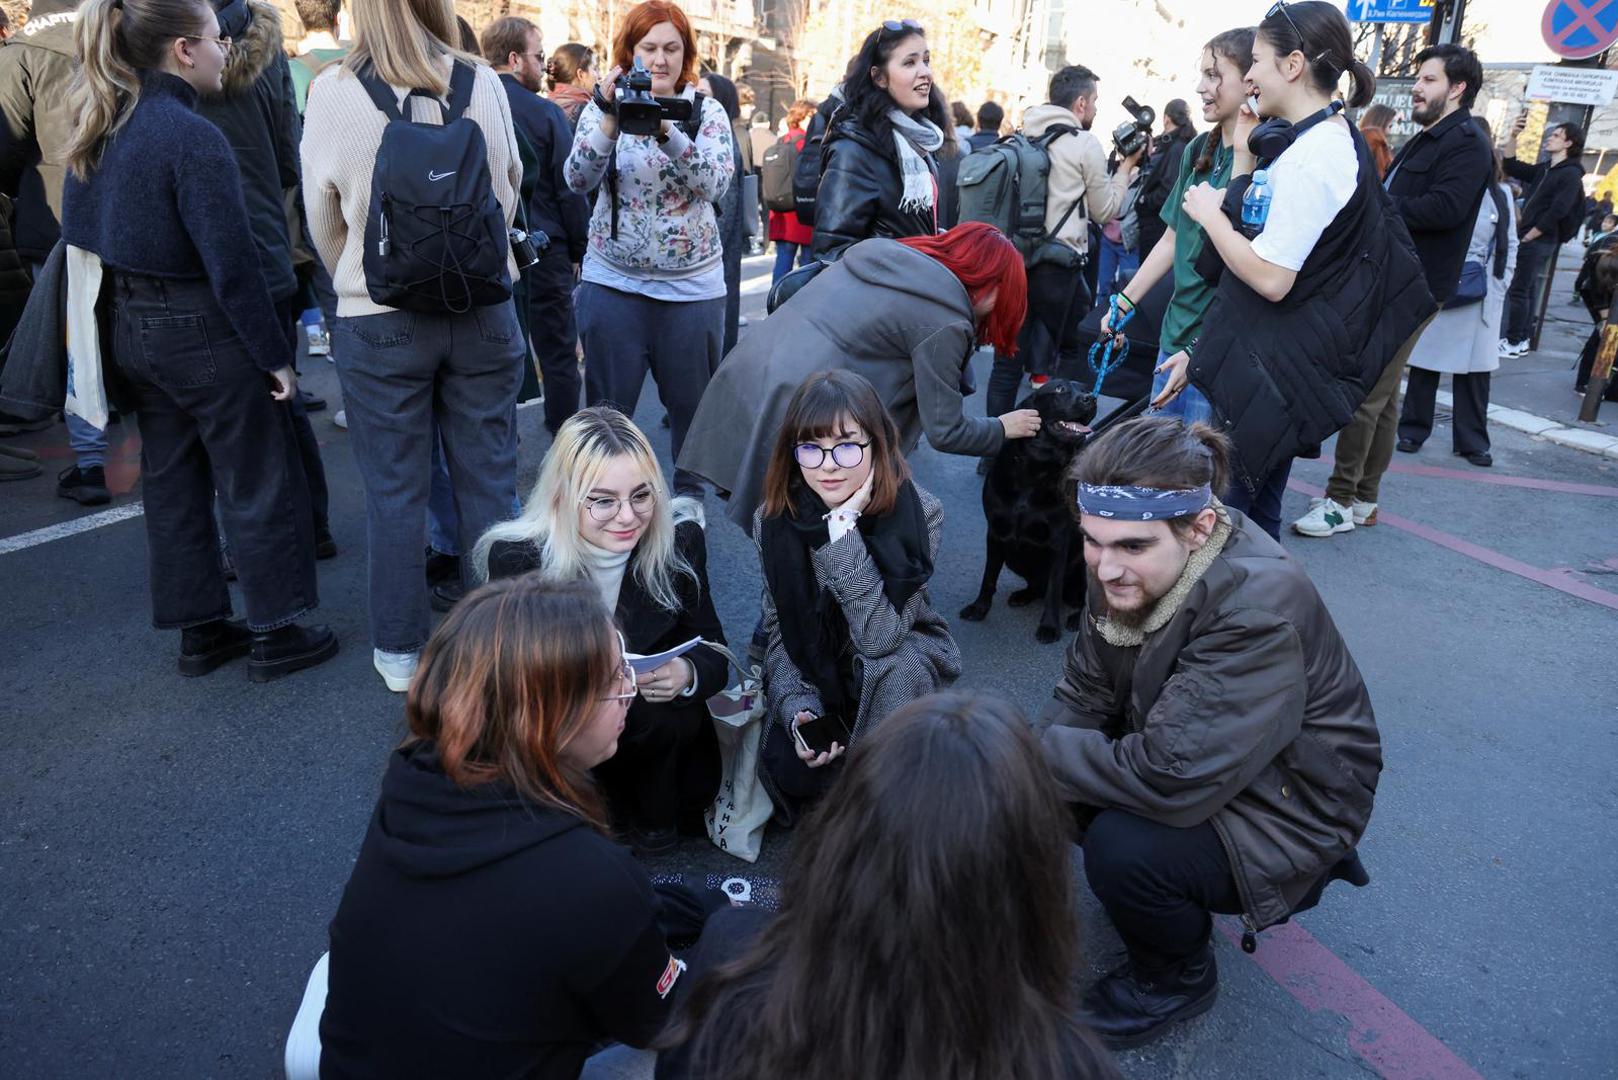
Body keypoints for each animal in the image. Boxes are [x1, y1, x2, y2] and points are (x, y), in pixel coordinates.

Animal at [957, 380, 1100, 641]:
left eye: (1085, 387)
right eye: (1060, 389)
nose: (1091, 398)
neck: (1037, 472)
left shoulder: (1059, 542)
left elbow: (1054, 590)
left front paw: (1050, 626)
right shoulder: (995, 534)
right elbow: (988, 577)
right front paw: (979, 608)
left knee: (1078, 598)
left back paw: (1075, 618)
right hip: (1014, 557)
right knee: (1039, 586)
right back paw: (1023, 595)